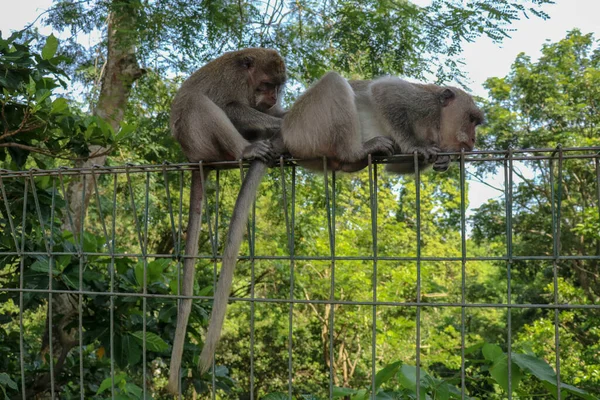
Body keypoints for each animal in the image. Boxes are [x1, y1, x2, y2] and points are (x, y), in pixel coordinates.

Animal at [168, 47, 288, 394]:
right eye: (267, 84)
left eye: (278, 86)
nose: (271, 97)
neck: (248, 77)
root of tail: (191, 159)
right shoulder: (235, 82)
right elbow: (231, 107)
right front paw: (282, 118)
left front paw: (282, 114)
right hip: (201, 142)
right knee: (199, 104)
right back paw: (246, 150)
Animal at [197, 70, 482, 374]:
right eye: (471, 119)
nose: (473, 142)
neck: (435, 123)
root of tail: (283, 131)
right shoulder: (421, 103)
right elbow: (386, 94)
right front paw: (419, 146)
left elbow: (397, 165)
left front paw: (442, 160)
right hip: (307, 127)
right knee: (334, 82)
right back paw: (357, 151)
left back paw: (356, 161)